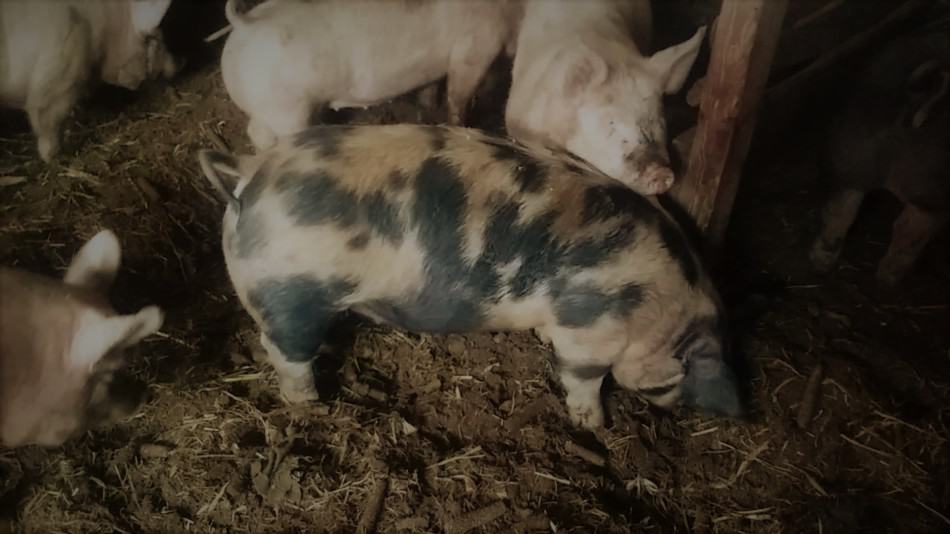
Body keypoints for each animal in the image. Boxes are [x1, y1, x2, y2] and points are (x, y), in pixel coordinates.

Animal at [199, 123, 744, 430]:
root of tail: (248, 180)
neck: (660, 308)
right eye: (671, 380)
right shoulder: (589, 329)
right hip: (289, 293)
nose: (671, 410)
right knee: (283, 351)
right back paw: (311, 407)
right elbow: (582, 378)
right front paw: (595, 427)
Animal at [219, 0, 520, 151]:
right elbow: (459, 96)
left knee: (256, 133)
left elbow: (431, 89)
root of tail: (244, 24)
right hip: (288, 110)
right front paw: (463, 127)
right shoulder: (476, 47)